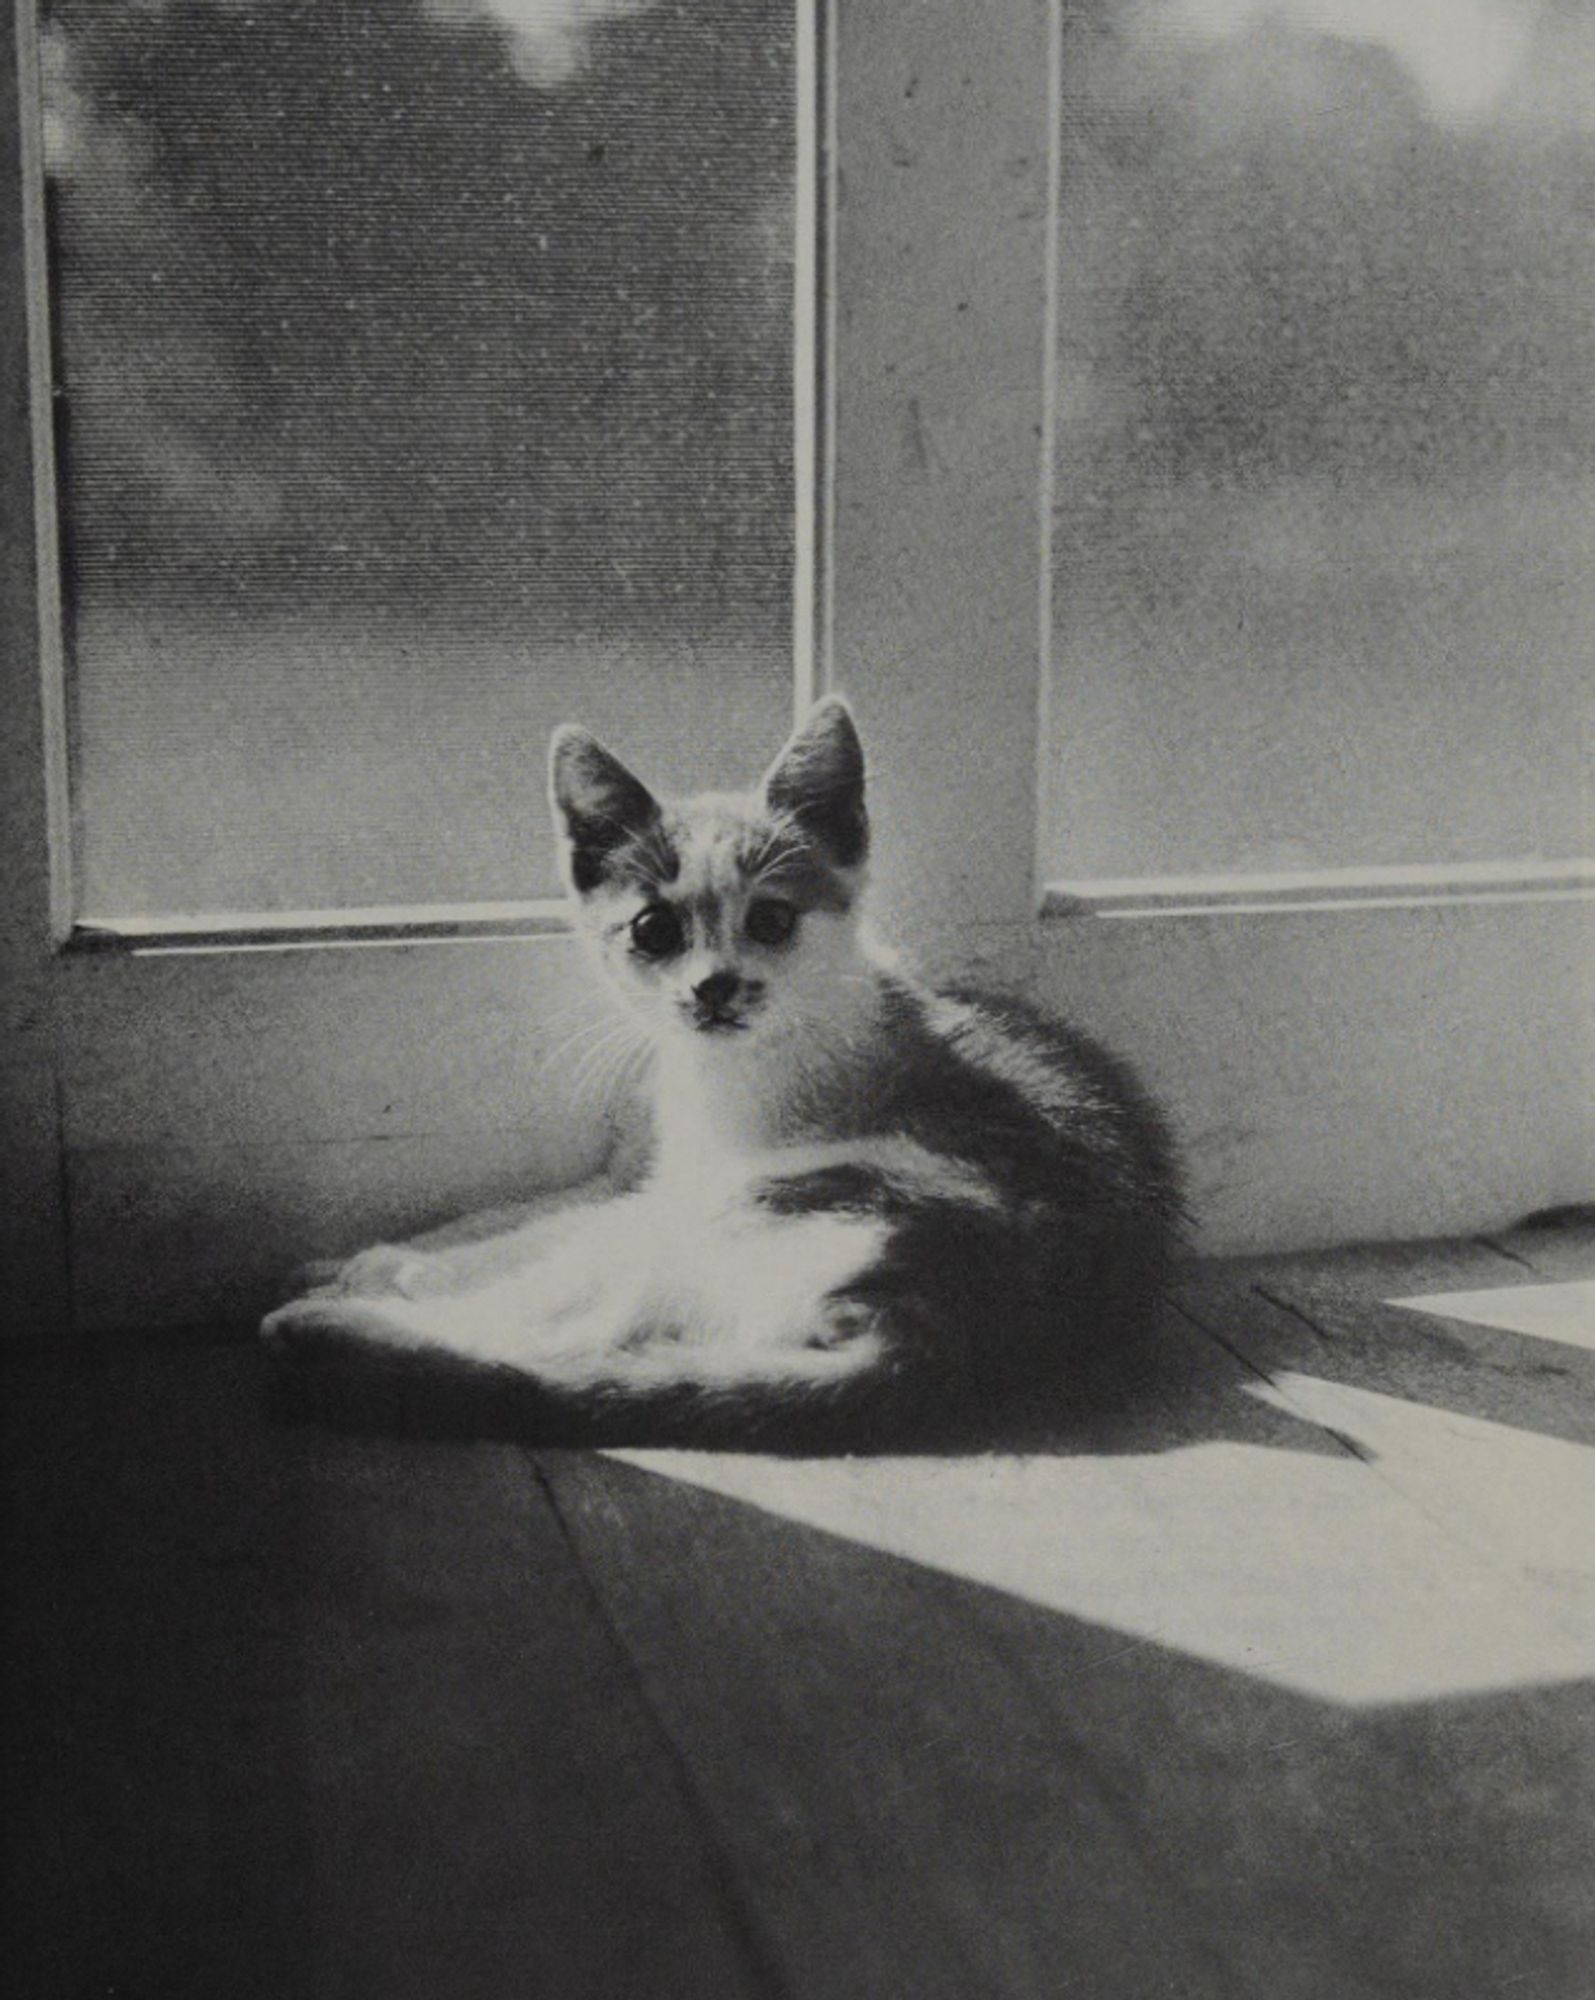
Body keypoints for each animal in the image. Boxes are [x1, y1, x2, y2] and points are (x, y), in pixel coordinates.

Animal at [261, 700, 1183, 1440]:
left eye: (771, 920)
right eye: (653, 930)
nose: (714, 987)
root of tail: (946, 1338)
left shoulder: (697, 1182)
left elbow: (555, 1242)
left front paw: (399, 1272)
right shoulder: (653, 1176)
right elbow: (537, 1213)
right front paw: (384, 1252)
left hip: (790, 1196)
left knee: (572, 1330)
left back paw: (342, 1322)